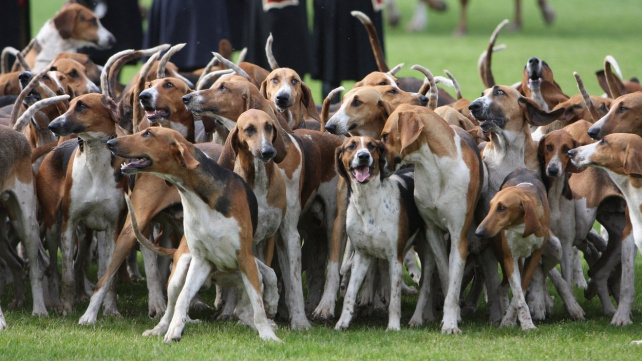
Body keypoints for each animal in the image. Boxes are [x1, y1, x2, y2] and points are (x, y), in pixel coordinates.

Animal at [332, 136, 422, 330]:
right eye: (351, 146)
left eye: (372, 146)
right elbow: (350, 293)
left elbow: (396, 297)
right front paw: (343, 321)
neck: (368, 201)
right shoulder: (361, 256)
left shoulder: (395, 257)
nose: (364, 156)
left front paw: (394, 326)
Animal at [378, 103, 482, 332]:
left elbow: (454, 281)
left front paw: (451, 323)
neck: (436, 168)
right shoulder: (432, 232)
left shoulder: (459, 236)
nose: (377, 167)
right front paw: (453, 315)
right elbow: (446, 275)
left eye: (385, 136)